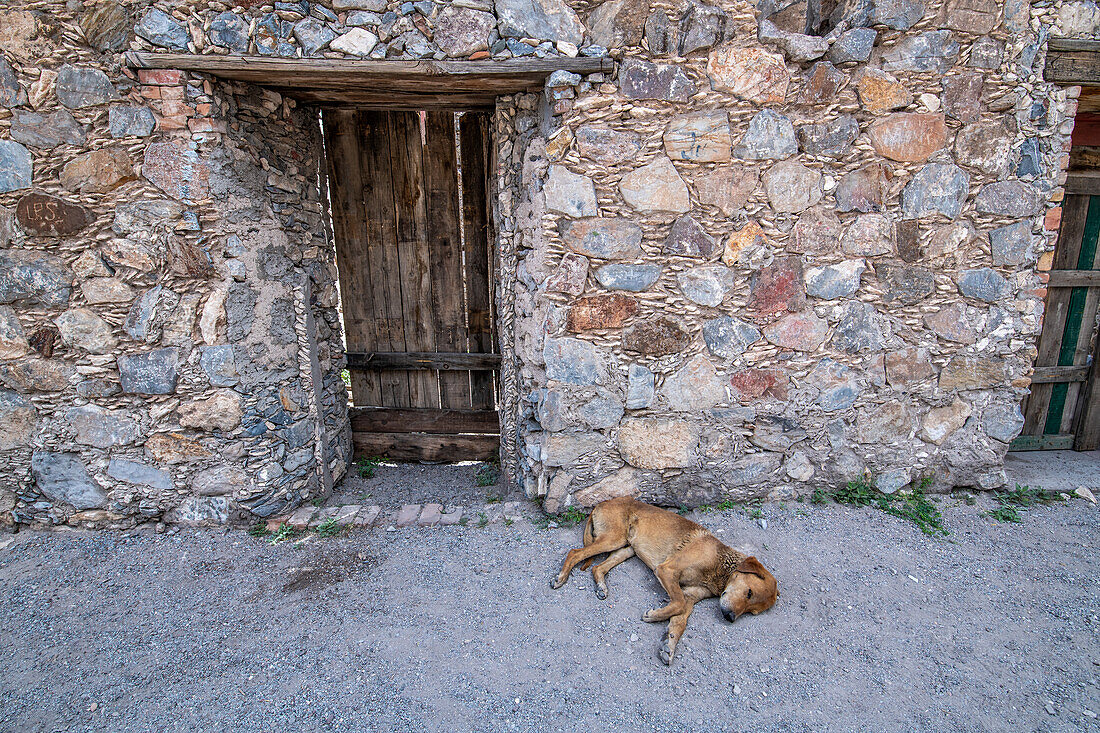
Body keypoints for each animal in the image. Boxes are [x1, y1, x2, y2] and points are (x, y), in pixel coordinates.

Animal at [554, 497, 778, 660]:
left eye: (752, 612)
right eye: (749, 593)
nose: (730, 618)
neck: (719, 567)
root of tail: (604, 502)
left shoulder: (690, 597)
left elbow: (680, 620)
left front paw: (669, 644)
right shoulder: (667, 571)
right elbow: (676, 603)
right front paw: (654, 615)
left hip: (627, 548)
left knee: (597, 567)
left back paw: (601, 586)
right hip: (612, 539)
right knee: (575, 553)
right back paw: (561, 577)